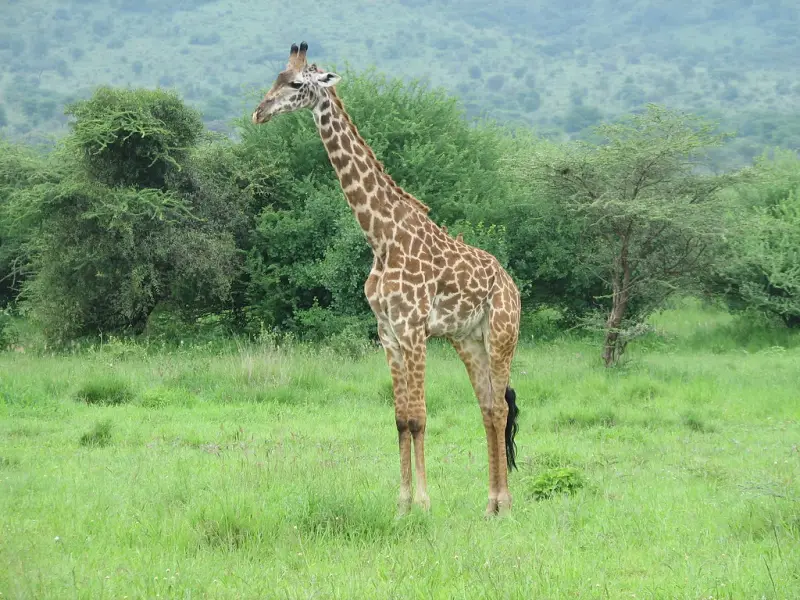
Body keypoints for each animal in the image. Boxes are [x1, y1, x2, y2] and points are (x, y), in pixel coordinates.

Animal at [251, 42, 521, 516]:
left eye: (297, 84)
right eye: (276, 78)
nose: (258, 112)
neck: (380, 237)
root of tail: (513, 286)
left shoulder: (413, 328)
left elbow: (419, 417)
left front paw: (425, 504)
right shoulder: (388, 332)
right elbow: (399, 419)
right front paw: (402, 505)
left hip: (502, 335)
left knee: (501, 410)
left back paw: (505, 505)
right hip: (468, 341)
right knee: (489, 407)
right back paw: (490, 505)